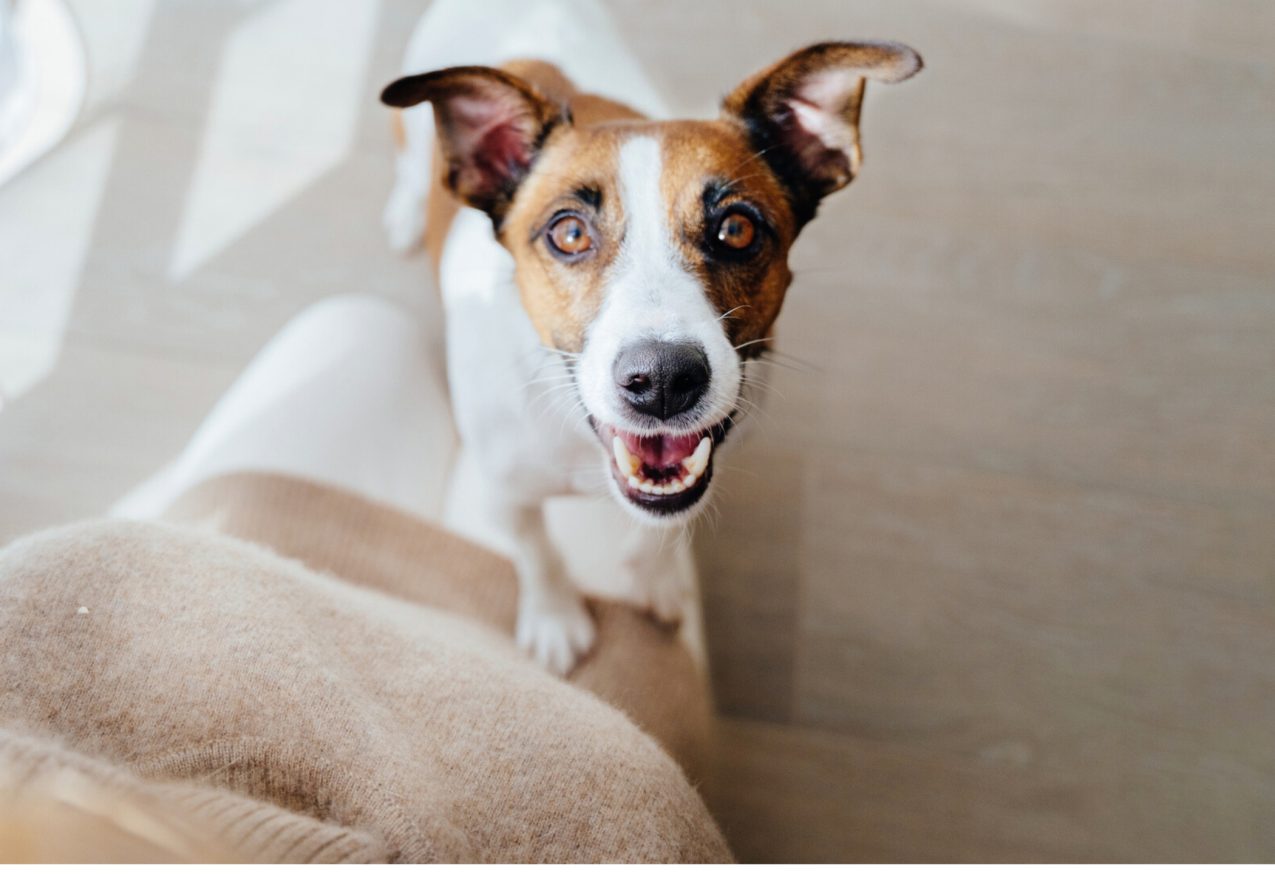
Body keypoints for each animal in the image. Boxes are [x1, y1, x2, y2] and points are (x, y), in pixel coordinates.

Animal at [377, 0, 918, 673]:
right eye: (569, 234)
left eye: (737, 228)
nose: (663, 380)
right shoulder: (505, 494)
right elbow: (538, 553)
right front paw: (555, 617)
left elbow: (664, 527)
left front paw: (654, 581)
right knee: (407, 168)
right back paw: (404, 212)